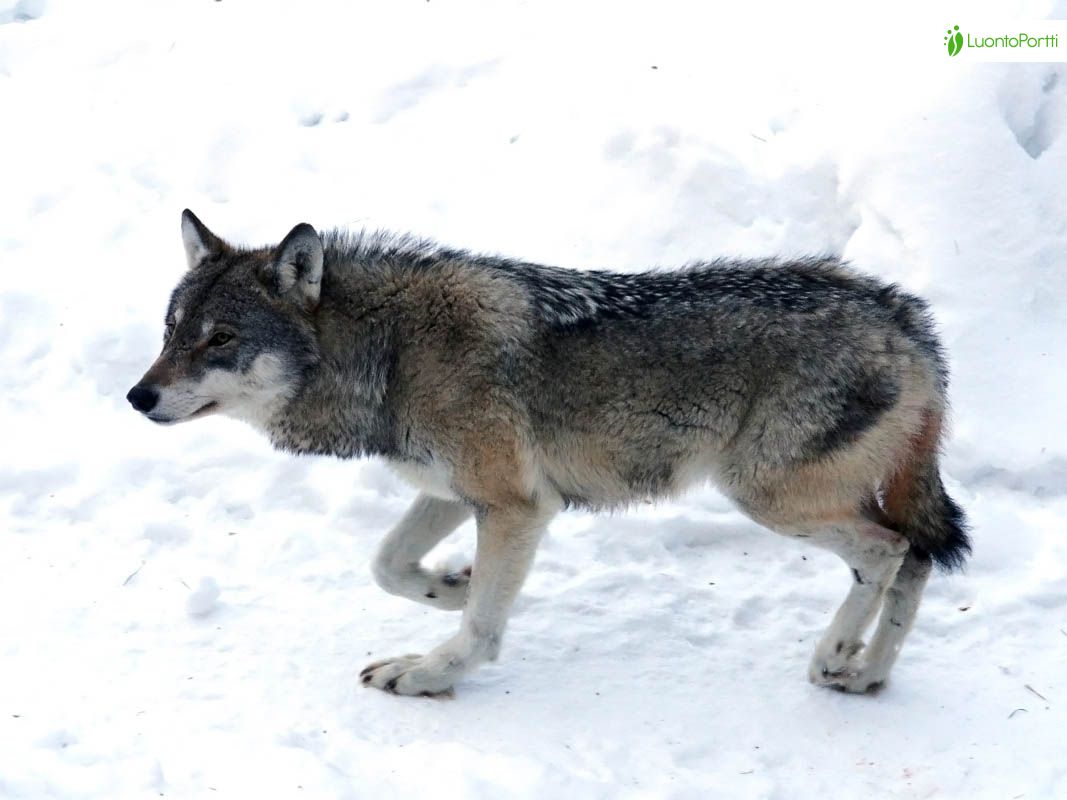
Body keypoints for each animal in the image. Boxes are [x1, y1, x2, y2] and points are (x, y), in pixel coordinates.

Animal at [124, 210, 968, 699]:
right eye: (170, 331)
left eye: (220, 339)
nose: (136, 397)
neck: (389, 351)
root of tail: (907, 320)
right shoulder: (452, 491)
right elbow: (389, 564)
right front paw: (453, 585)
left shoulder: (517, 506)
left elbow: (481, 632)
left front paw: (429, 671)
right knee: (916, 557)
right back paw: (865, 673)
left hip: (764, 496)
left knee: (886, 551)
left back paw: (834, 654)